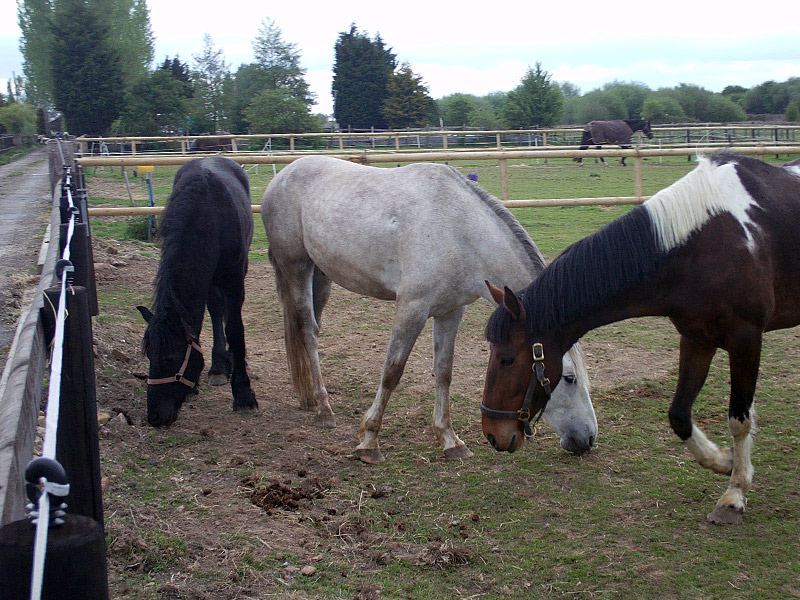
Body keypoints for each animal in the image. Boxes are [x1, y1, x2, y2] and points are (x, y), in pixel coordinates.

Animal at [137, 156, 258, 426]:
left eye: (171, 357)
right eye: (149, 355)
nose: (155, 416)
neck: (207, 214)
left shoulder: (235, 280)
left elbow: (235, 330)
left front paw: (243, 394)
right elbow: (204, 321)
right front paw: (204, 377)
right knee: (216, 310)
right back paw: (220, 365)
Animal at [261, 155, 597, 464]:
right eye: (569, 378)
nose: (587, 438)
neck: (459, 232)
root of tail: (282, 177)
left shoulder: (450, 312)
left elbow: (444, 371)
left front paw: (450, 440)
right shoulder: (412, 308)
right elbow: (392, 371)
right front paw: (369, 441)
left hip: (321, 275)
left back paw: (309, 399)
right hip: (297, 268)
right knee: (308, 331)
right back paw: (323, 408)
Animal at [481, 153, 800, 524]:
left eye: (507, 358)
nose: (492, 433)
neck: (704, 243)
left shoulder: (746, 339)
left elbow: (740, 418)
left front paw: (735, 493)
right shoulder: (696, 339)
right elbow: (679, 415)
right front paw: (724, 460)